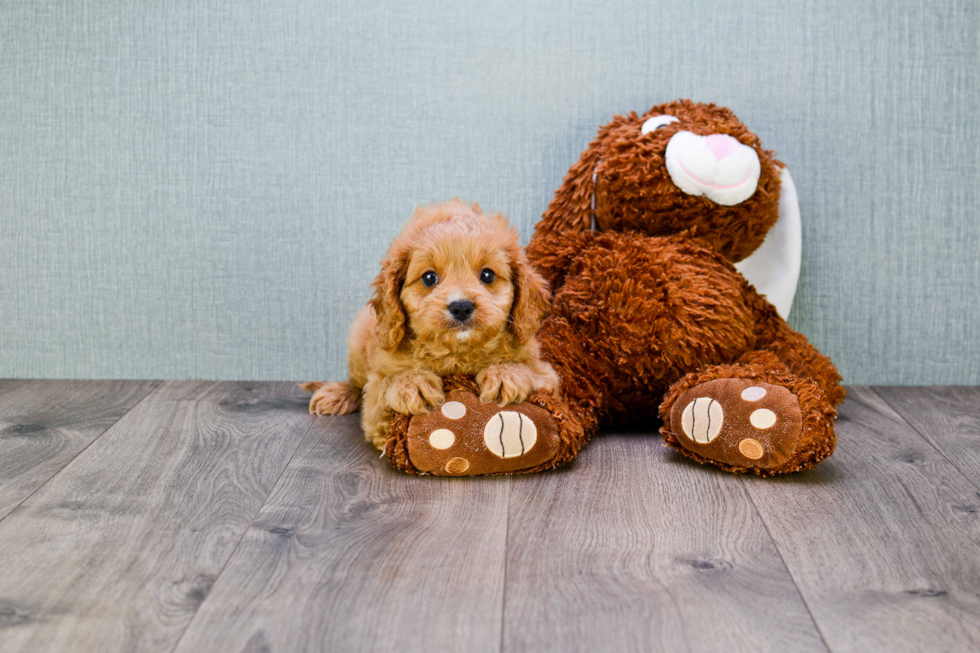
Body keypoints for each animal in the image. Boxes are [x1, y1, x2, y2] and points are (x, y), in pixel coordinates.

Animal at [298, 201, 560, 450]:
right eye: (429, 278)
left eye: (487, 275)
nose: (461, 306)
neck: (457, 354)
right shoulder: (375, 398)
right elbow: (383, 387)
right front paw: (411, 384)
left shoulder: (548, 376)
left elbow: (533, 372)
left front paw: (505, 373)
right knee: (356, 381)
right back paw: (338, 394)